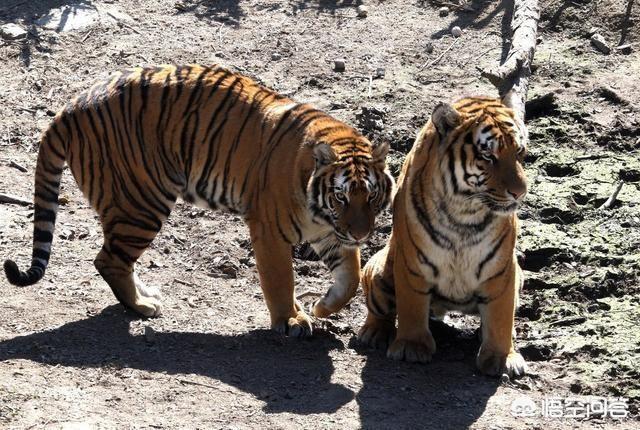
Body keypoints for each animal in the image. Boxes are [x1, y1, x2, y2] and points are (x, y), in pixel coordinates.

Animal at [3, 64, 395, 337]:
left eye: (372, 196)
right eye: (341, 196)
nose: (361, 234)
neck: (321, 211)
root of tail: (72, 106)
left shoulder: (331, 233)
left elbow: (351, 278)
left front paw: (323, 307)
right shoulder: (271, 230)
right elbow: (281, 278)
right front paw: (292, 319)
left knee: (114, 257)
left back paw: (145, 295)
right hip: (142, 203)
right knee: (109, 259)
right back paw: (142, 305)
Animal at [357, 97, 528, 377]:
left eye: (519, 153)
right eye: (488, 156)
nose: (520, 193)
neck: (465, 213)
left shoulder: (502, 270)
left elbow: (501, 318)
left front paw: (501, 358)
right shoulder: (412, 263)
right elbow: (412, 305)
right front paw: (411, 347)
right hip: (379, 270)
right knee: (379, 310)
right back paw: (373, 333)